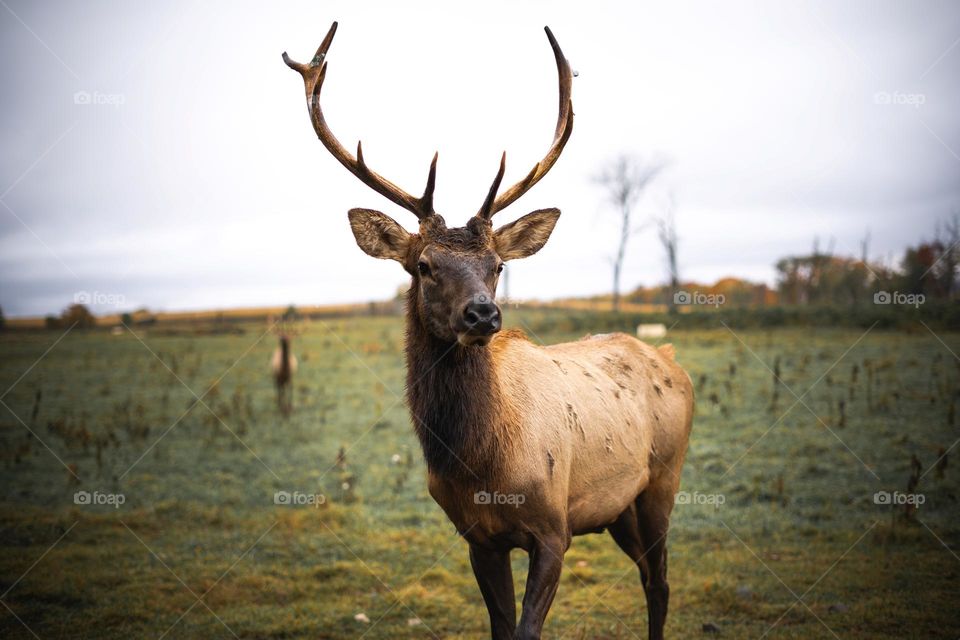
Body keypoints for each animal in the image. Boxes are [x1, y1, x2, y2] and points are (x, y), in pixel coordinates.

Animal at [282, 22, 692, 636]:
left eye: (498, 265)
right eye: (424, 265)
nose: (482, 315)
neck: (485, 466)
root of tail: (669, 357)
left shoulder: (554, 530)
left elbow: (526, 628)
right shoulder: (477, 538)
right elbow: (500, 625)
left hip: (662, 482)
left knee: (660, 582)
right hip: (618, 507)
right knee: (652, 578)